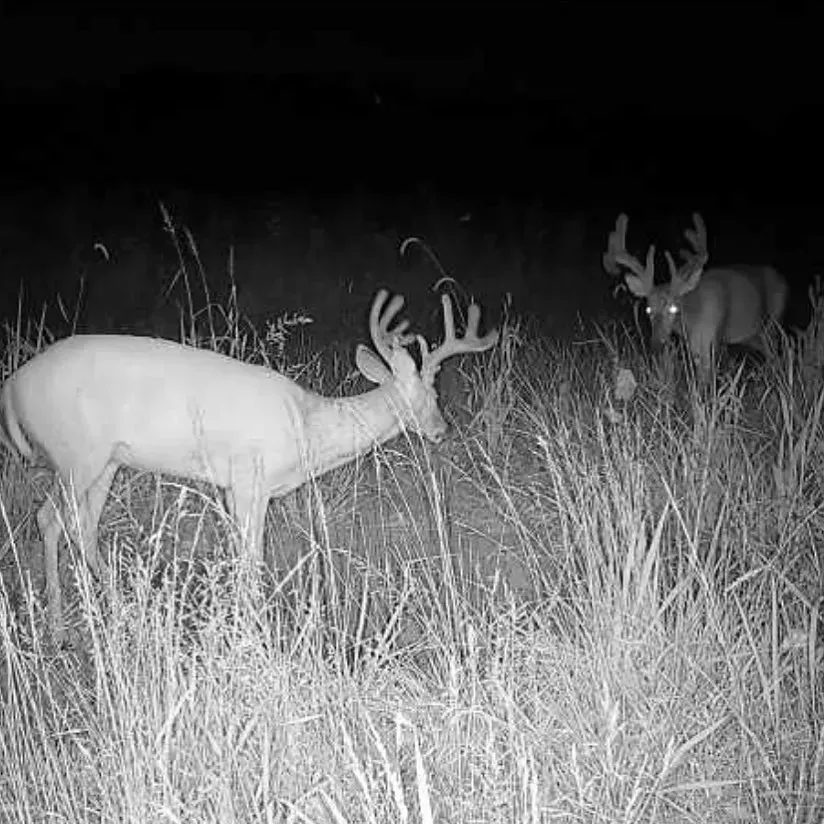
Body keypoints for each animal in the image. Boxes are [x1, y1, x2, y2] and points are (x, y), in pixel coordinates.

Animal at [0, 289, 499, 642]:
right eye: (426, 393)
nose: (441, 430)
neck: (307, 429)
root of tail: (12, 384)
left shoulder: (231, 488)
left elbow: (241, 557)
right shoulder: (248, 480)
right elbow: (252, 560)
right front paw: (254, 628)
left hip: (107, 461)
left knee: (83, 525)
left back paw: (121, 606)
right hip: (75, 453)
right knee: (48, 520)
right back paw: (58, 626)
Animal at [603, 212, 787, 378]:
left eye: (673, 308)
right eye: (648, 309)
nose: (655, 346)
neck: (692, 320)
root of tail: (782, 278)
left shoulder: (712, 341)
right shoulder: (697, 349)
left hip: (773, 321)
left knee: (775, 351)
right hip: (754, 334)